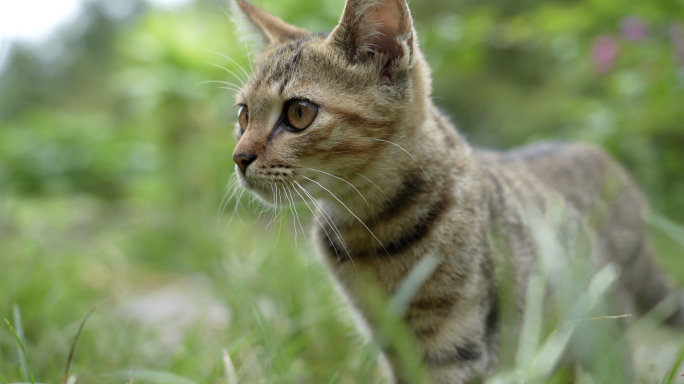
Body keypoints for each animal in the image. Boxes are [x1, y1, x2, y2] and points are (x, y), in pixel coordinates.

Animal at [230, 0, 684, 380]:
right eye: (243, 115)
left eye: (299, 113)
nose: (238, 157)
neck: (367, 231)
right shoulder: (393, 344)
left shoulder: (455, 345)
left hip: (601, 334)